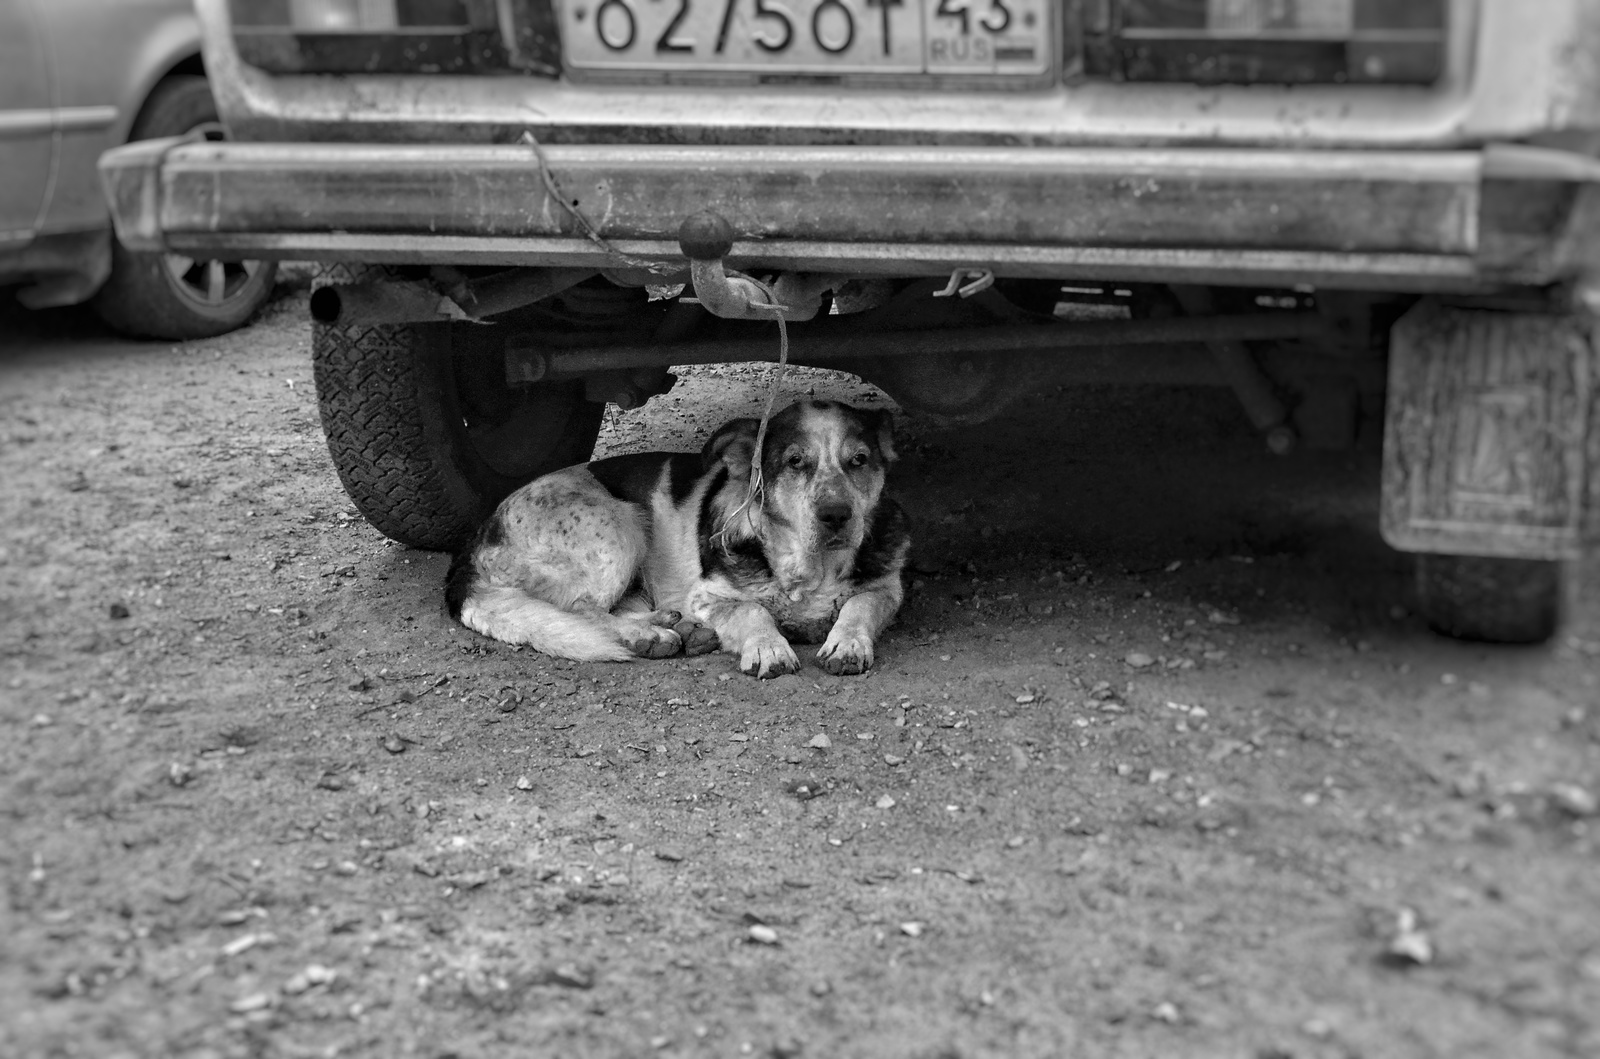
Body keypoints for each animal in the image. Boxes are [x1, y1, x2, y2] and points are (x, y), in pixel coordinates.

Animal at [444, 398, 908, 681]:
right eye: (795, 462)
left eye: (859, 460)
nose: (837, 516)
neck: (809, 569)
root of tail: (477, 540)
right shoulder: (708, 596)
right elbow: (752, 611)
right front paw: (768, 648)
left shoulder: (887, 589)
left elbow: (859, 605)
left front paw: (847, 642)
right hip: (621, 526)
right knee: (581, 608)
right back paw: (649, 636)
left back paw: (672, 625)